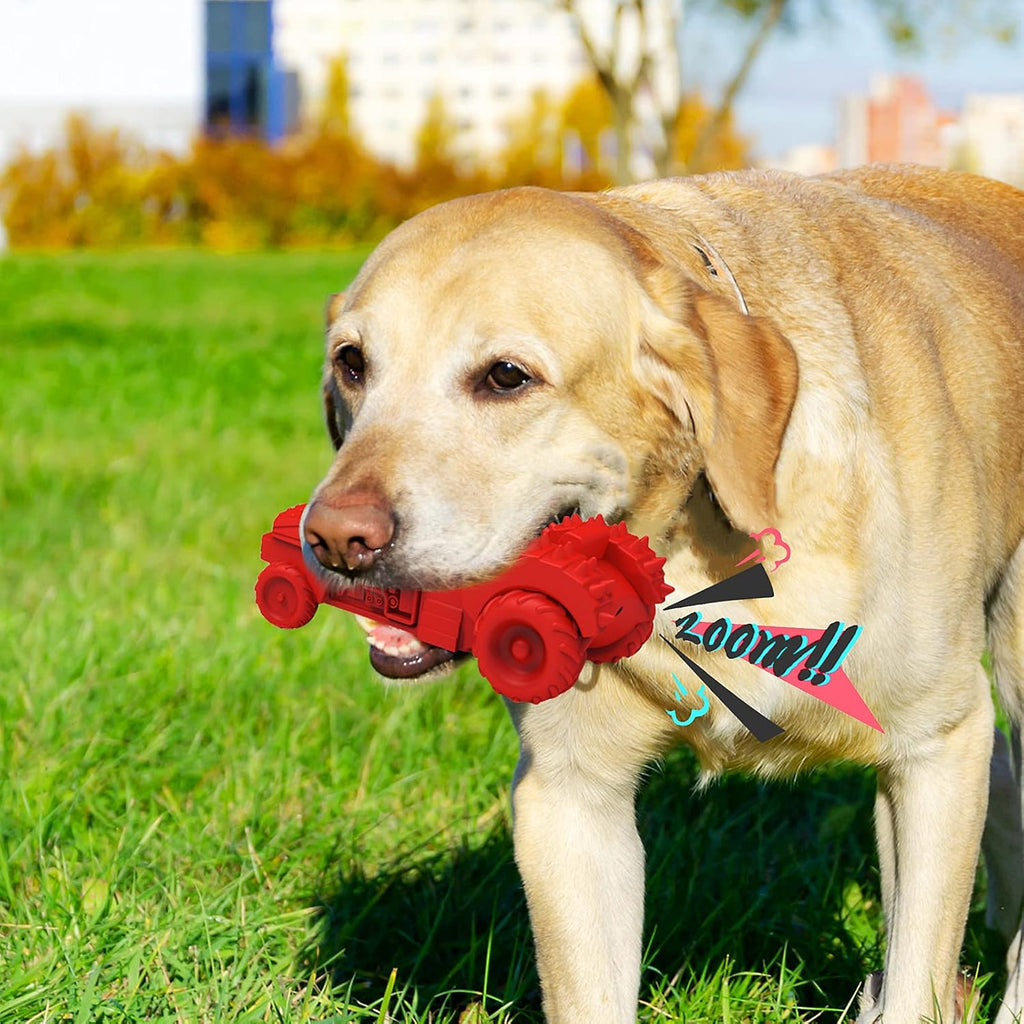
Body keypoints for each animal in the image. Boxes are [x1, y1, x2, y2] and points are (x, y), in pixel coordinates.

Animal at [299, 163, 1024, 1019]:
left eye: (506, 377)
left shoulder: (932, 750)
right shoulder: (570, 796)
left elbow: (915, 979)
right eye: (352, 363)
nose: (335, 537)